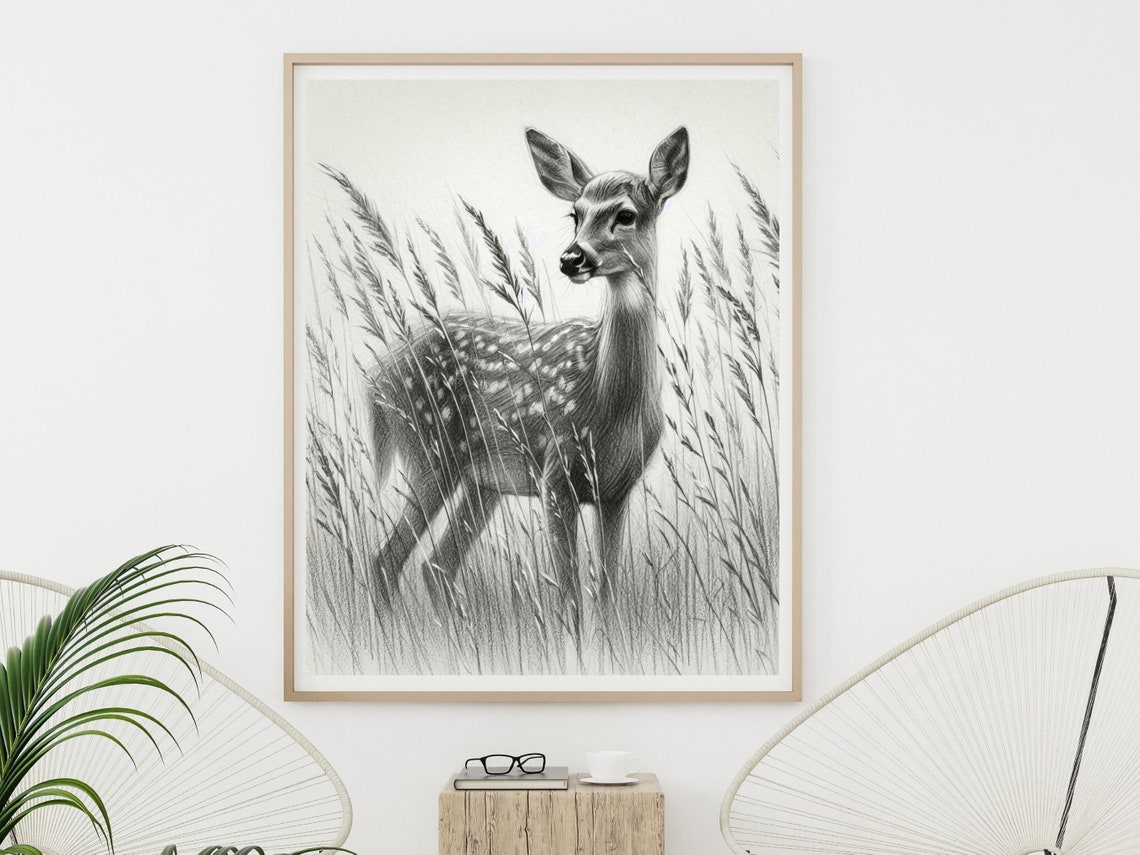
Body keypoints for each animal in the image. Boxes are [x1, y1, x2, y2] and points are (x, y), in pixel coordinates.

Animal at [366, 126, 689, 642]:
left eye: (625, 214)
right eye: (575, 213)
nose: (572, 258)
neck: (606, 398)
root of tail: (376, 378)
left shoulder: (617, 489)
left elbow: (608, 595)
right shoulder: (556, 474)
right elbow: (570, 599)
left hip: (482, 480)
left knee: (435, 566)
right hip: (430, 452)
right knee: (386, 561)